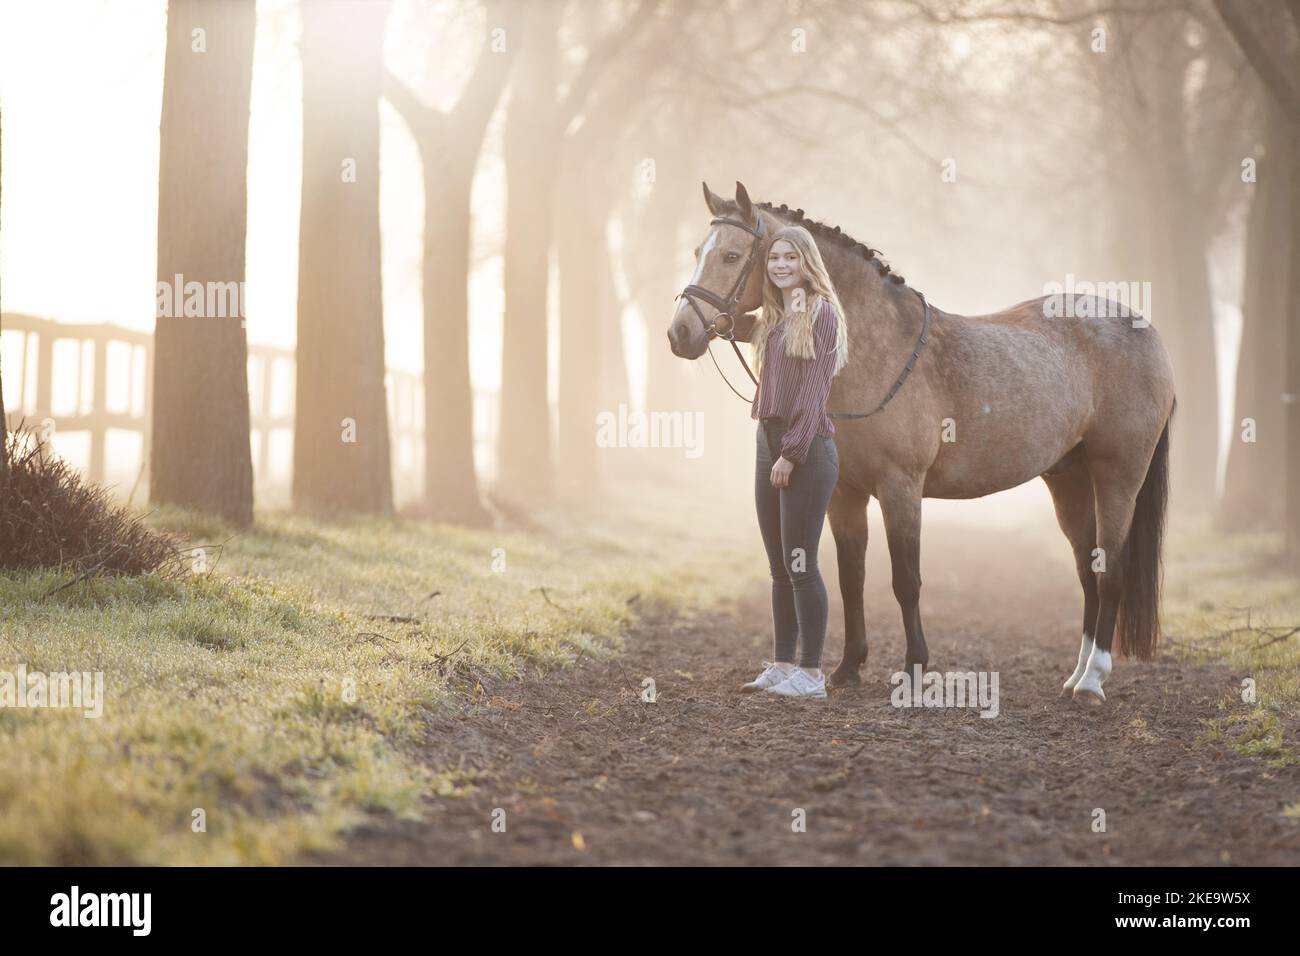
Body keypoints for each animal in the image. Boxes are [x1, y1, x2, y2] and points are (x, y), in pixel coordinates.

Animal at [667, 182, 1175, 704]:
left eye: (731, 255)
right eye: (697, 252)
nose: (680, 332)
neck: (877, 349)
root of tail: (1145, 331)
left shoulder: (901, 488)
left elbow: (905, 581)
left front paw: (914, 668)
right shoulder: (844, 494)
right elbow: (851, 578)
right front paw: (848, 667)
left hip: (1118, 476)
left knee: (1110, 572)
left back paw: (1092, 681)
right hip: (1068, 479)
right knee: (1087, 572)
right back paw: (1076, 675)